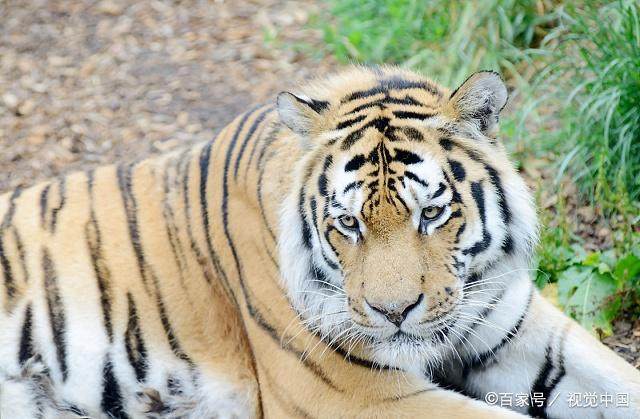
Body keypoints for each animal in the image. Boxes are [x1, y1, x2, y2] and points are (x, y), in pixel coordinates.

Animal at [0, 64, 636, 418]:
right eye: (348, 224)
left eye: (431, 213)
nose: (394, 313)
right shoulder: (355, 395)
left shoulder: (516, 325)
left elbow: (616, 381)